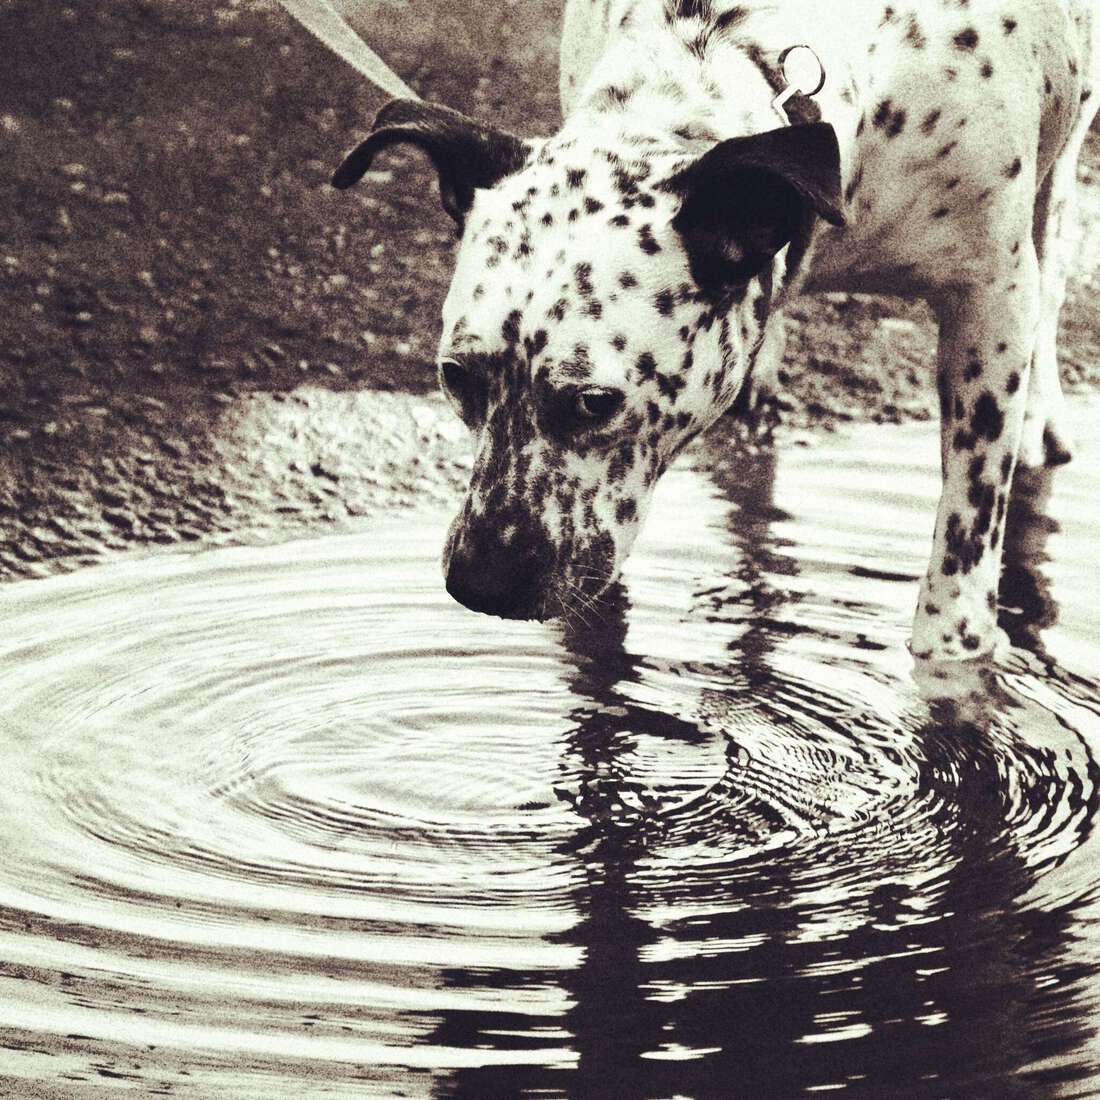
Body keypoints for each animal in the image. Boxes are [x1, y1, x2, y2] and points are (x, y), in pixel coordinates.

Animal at [330, 2, 1095, 660]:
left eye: (594, 402)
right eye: (456, 378)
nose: (480, 584)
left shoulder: (989, 299)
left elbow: (962, 559)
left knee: (1054, 253)